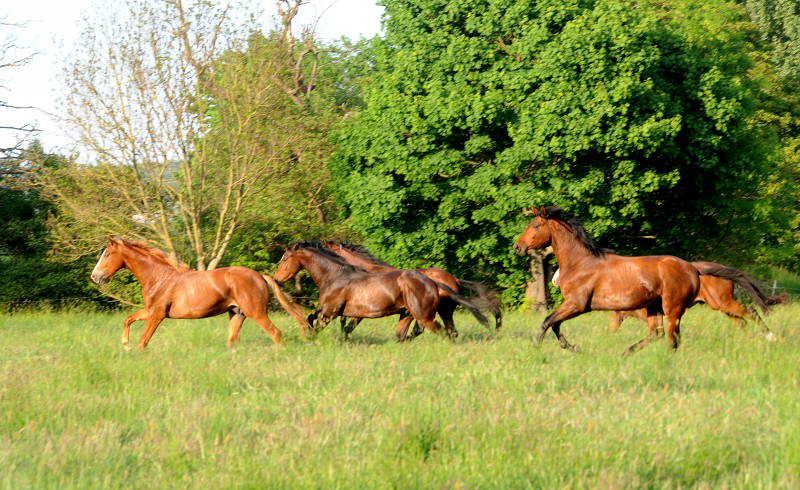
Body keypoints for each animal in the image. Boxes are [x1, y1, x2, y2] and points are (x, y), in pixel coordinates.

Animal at [90, 236, 310, 348]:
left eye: (107, 254)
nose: (94, 276)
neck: (158, 277)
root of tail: (260, 276)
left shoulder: (157, 314)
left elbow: (143, 342)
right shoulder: (150, 311)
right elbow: (128, 319)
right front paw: (124, 344)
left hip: (255, 312)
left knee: (276, 334)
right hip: (237, 314)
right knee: (232, 341)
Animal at [274, 241, 450, 340]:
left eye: (285, 259)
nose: (276, 280)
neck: (334, 276)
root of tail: (432, 282)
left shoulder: (330, 313)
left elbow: (322, 328)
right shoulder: (332, 311)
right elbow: (312, 317)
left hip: (424, 316)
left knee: (443, 333)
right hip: (409, 314)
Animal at [512, 206, 768, 352]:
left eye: (535, 225)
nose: (517, 247)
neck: (581, 262)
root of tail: (692, 268)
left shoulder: (577, 304)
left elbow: (547, 321)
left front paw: (539, 347)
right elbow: (554, 324)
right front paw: (571, 346)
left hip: (681, 307)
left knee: (674, 338)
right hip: (663, 308)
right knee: (661, 334)